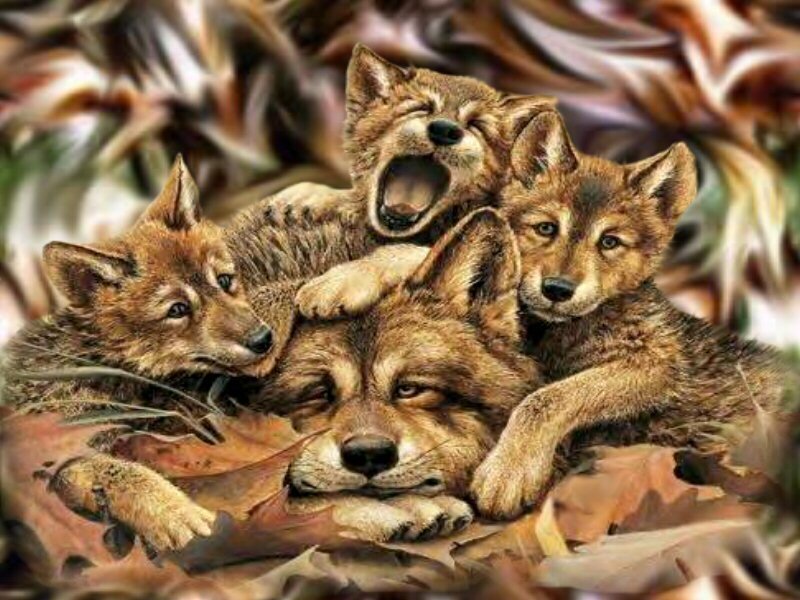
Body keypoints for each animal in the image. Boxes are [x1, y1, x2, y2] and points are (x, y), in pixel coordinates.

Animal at [469, 111, 788, 519]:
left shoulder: (655, 365)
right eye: (546, 228)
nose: (557, 289)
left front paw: (508, 472)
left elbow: (547, 399)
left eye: (609, 242)